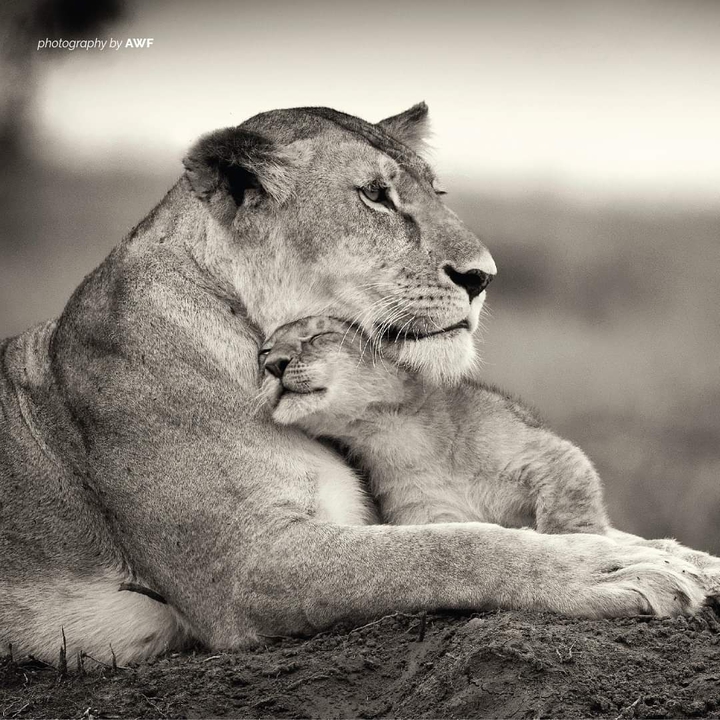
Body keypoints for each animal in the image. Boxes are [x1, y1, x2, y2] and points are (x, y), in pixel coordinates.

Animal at [0, 104, 716, 666]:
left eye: (437, 193)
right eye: (375, 195)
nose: (482, 276)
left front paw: (682, 555)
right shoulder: (242, 567)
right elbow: (449, 549)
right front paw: (607, 569)